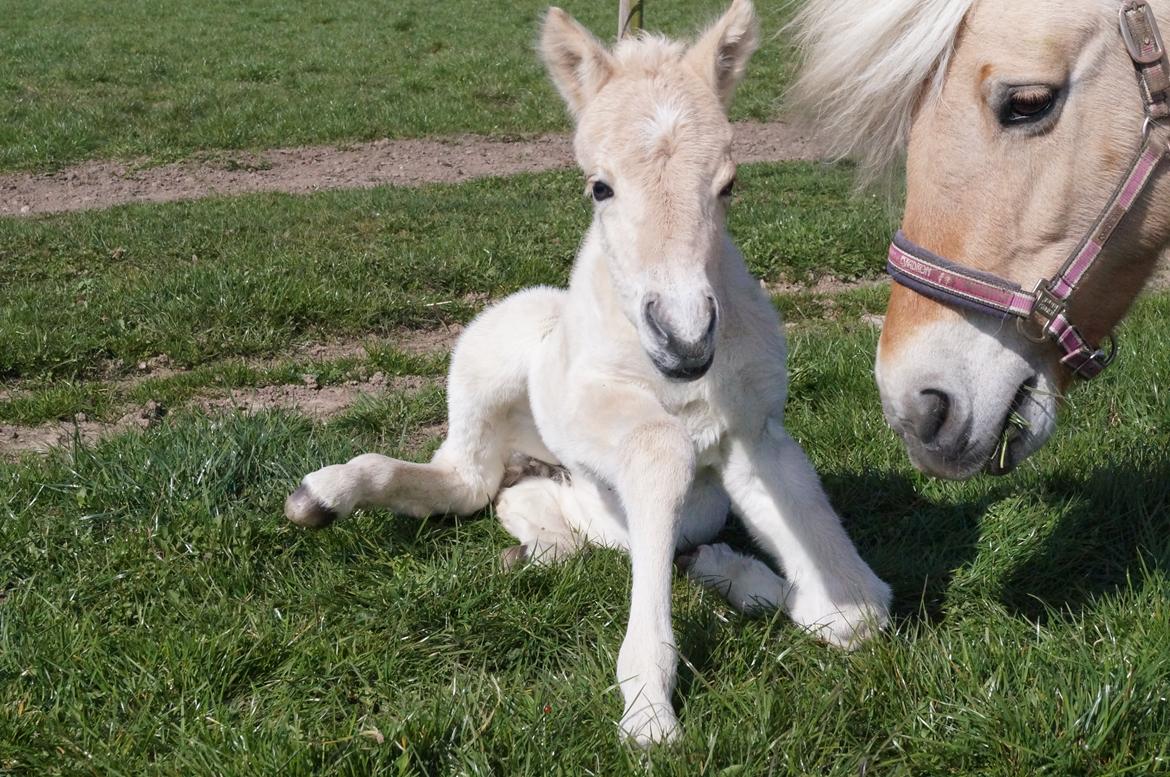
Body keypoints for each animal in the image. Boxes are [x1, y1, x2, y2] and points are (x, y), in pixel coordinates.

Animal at [283, 0, 884, 748]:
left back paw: (702, 567)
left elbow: (858, 612)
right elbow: (658, 448)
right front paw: (649, 706)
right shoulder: (587, 405)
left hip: (567, 504)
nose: (686, 340)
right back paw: (324, 493)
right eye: (600, 186)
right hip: (492, 355)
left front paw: (764, 589)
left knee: (525, 508)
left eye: (728, 184)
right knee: (463, 478)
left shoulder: (754, 428)